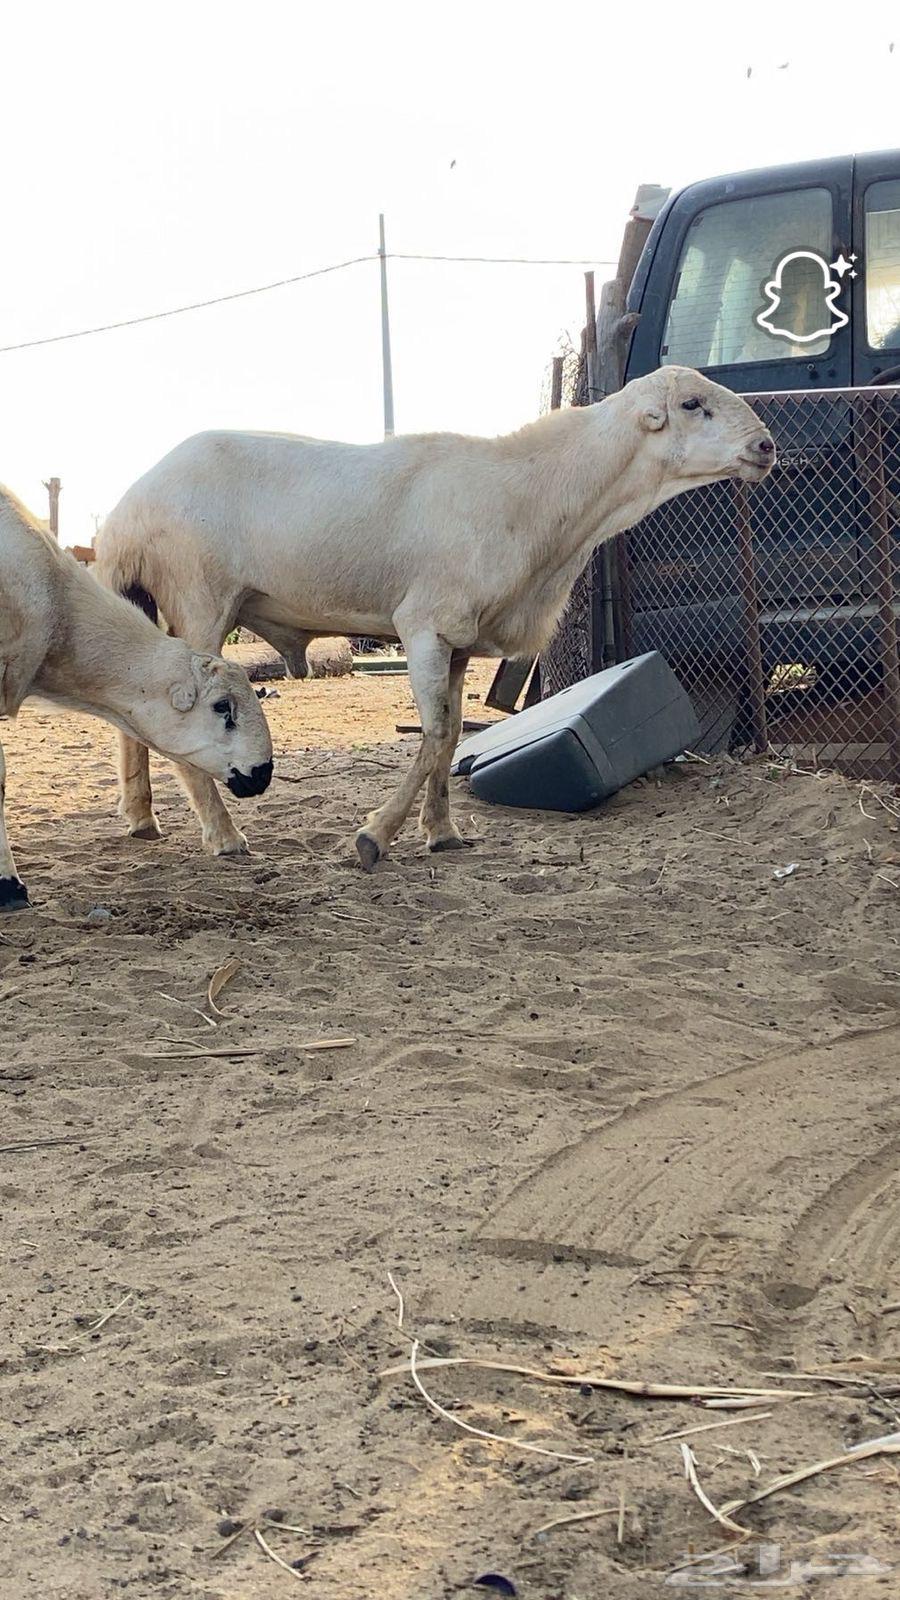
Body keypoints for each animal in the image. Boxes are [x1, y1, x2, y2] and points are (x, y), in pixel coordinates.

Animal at [94, 365, 775, 868]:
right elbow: (437, 733)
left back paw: (142, 818)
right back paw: (223, 835)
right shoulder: (425, 625)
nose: (767, 446)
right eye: (692, 403)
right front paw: (375, 837)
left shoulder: (460, 642)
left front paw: (442, 832)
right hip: (199, 596)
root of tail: (126, 512)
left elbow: (447, 741)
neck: (537, 497)